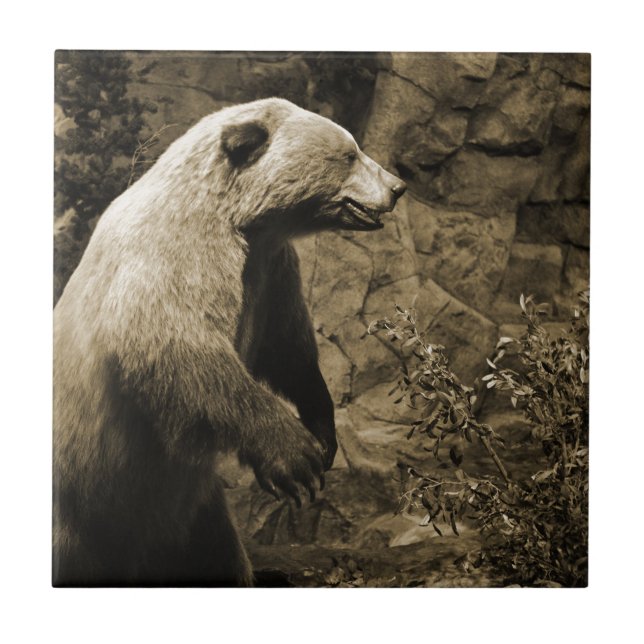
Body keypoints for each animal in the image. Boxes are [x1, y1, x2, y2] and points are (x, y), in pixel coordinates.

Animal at [53, 97, 406, 586]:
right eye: (349, 154)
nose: (398, 186)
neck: (241, 220)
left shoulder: (271, 271)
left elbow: (288, 349)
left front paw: (323, 433)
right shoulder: (174, 252)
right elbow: (180, 345)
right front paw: (295, 458)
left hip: (193, 515)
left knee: (215, 558)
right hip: (79, 507)